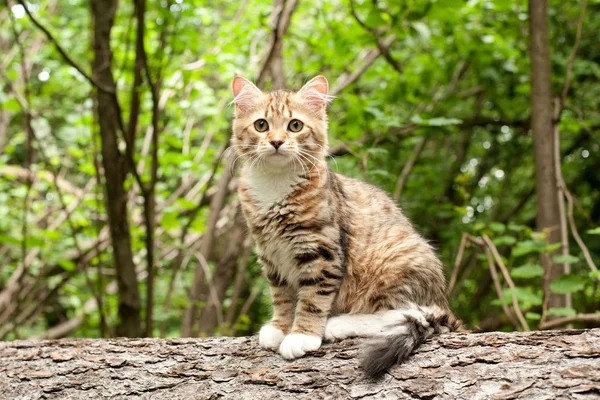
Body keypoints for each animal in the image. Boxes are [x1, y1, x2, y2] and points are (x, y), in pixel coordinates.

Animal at [231, 75, 464, 378]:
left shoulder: (322, 252)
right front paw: (280, 327)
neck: (275, 183)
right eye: (262, 125)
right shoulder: (271, 255)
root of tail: (442, 300)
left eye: (295, 125)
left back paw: (339, 324)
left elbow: (312, 299)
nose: (277, 142)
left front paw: (301, 335)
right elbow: (282, 296)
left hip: (393, 259)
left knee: (401, 312)